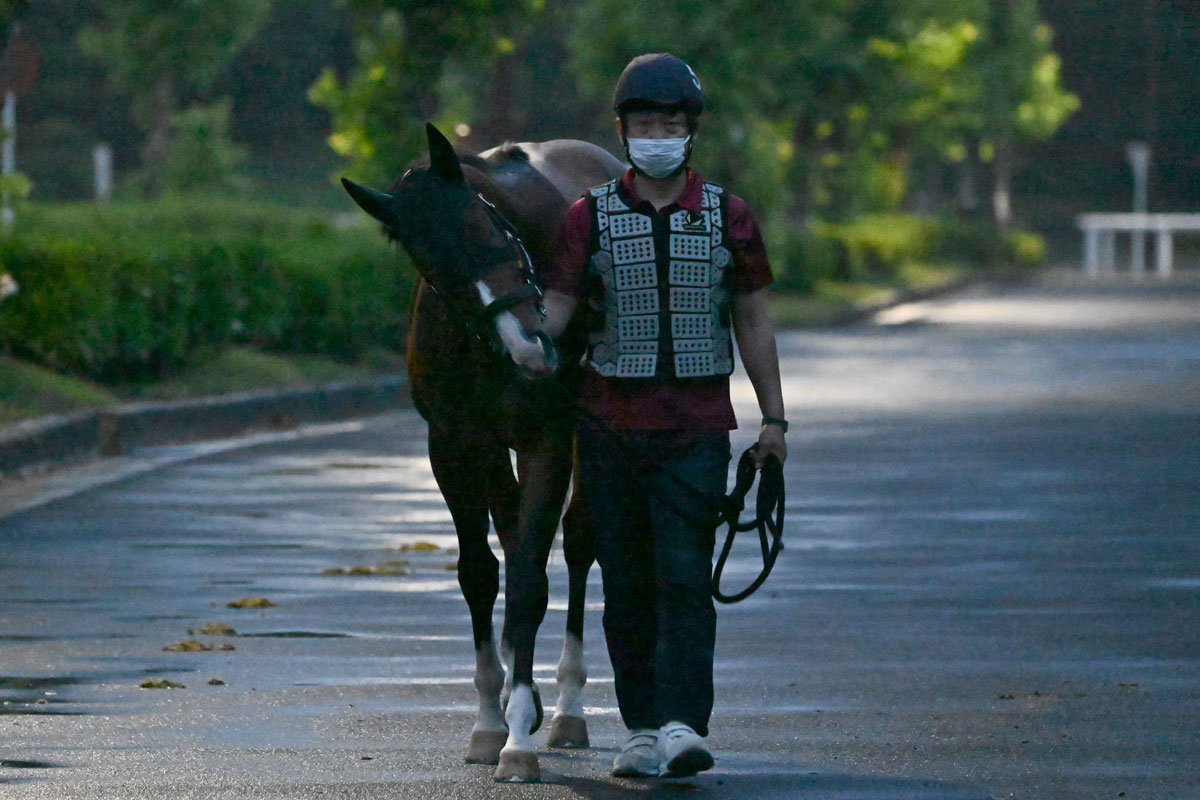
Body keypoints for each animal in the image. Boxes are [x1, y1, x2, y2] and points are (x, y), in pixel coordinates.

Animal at [342, 123, 624, 782]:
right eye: (430, 267)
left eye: (482, 224)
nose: (528, 346)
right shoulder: (455, 443)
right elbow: (480, 573)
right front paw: (491, 721)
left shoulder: (549, 436)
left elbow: (528, 580)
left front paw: (518, 736)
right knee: (515, 527)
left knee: (578, 541)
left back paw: (568, 705)